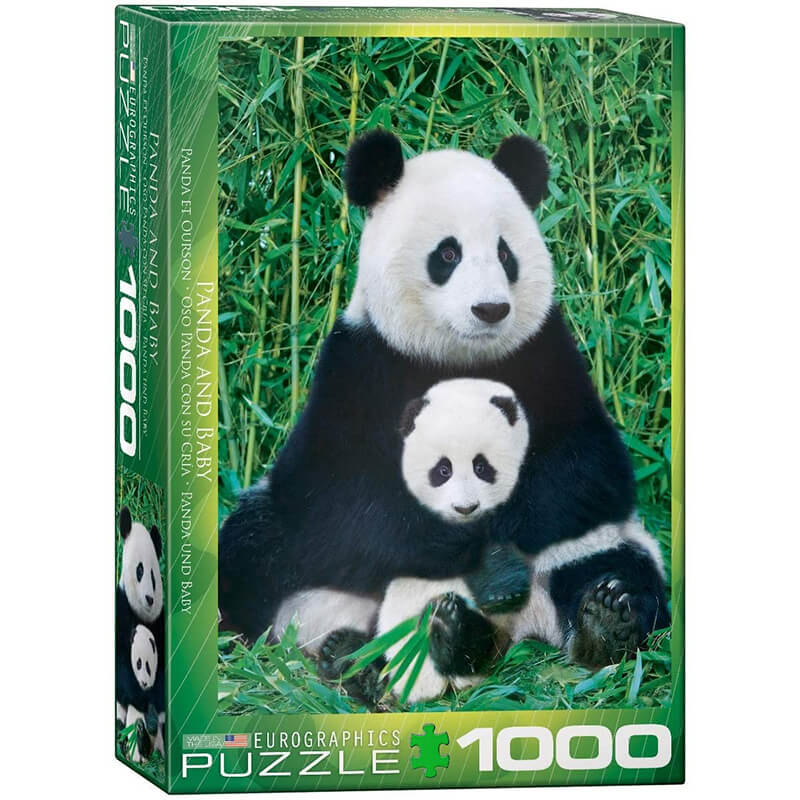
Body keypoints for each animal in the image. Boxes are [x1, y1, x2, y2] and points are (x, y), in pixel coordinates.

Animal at [218, 130, 669, 698]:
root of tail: (516, 632)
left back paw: (601, 621)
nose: (490, 310)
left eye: (504, 253)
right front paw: (472, 548)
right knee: (251, 552)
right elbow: (335, 497)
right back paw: (359, 656)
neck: (457, 357)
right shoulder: (358, 366)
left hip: (600, 545)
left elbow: (588, 471)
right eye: (448, 253)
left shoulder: (547, 355)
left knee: (619, 567)